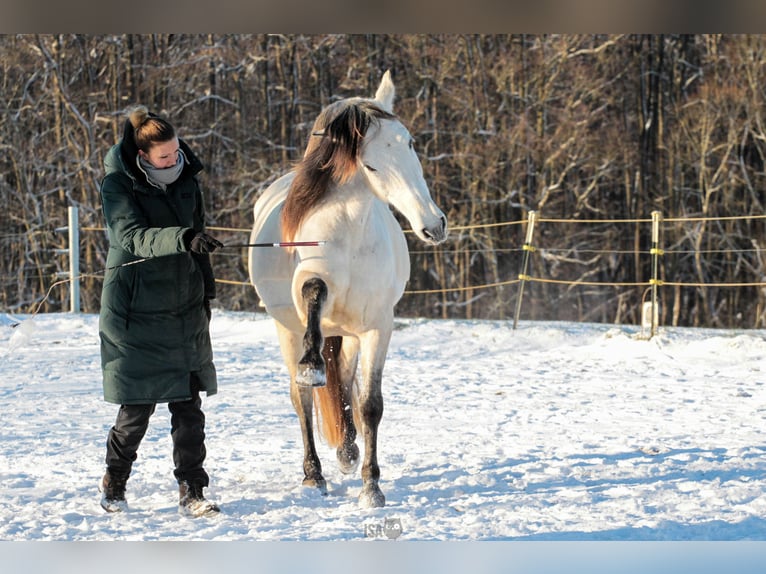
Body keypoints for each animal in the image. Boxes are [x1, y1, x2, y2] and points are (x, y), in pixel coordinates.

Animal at [247, 71, 448, 508]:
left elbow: (369, 405)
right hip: (286, 330)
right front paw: (311, 365)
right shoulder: (311, 290)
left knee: (344, 388)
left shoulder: (376, 328)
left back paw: (347, 452)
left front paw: (372, 487)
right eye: (369, 164)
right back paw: (313, 475)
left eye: (409, 142)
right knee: (301, 400)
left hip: (350, 336)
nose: (433, 225)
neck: (352, 235)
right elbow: (313, 291)